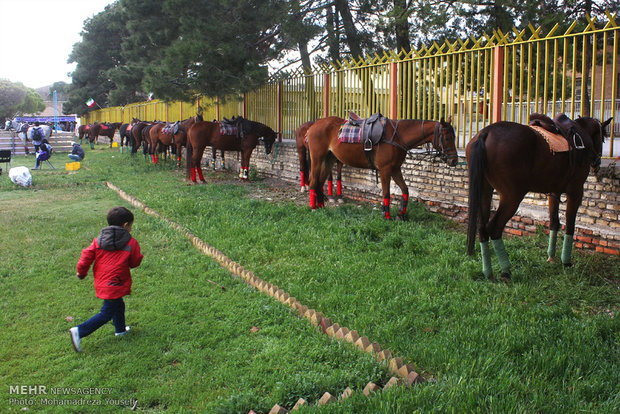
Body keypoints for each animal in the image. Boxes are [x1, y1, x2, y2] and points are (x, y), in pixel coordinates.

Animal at [308, 116, 458, 220]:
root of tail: (313, 125)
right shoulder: (385, 170)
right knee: (313, 182)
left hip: (329, 159)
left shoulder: (396, 169)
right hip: (317, 159)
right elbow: (386, 193)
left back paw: (321, 206)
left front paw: (400, 214)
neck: (397, 137)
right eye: (447, 137)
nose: (454, 160)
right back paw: (313, 207)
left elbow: (405, 190)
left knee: (319, 183)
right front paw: (386, 216)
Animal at [464, 115, 612, 280]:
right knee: (494, 228)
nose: (597, 163)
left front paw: (551, 257)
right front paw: (566, 261)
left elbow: (554, 222)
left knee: (482, 228)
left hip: (485, 189)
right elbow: (570, 224)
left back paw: (488, 273)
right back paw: (506, 271)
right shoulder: (576, 191)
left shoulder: (554, 193)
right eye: (603, 137)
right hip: (512, 196)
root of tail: (485, 133)